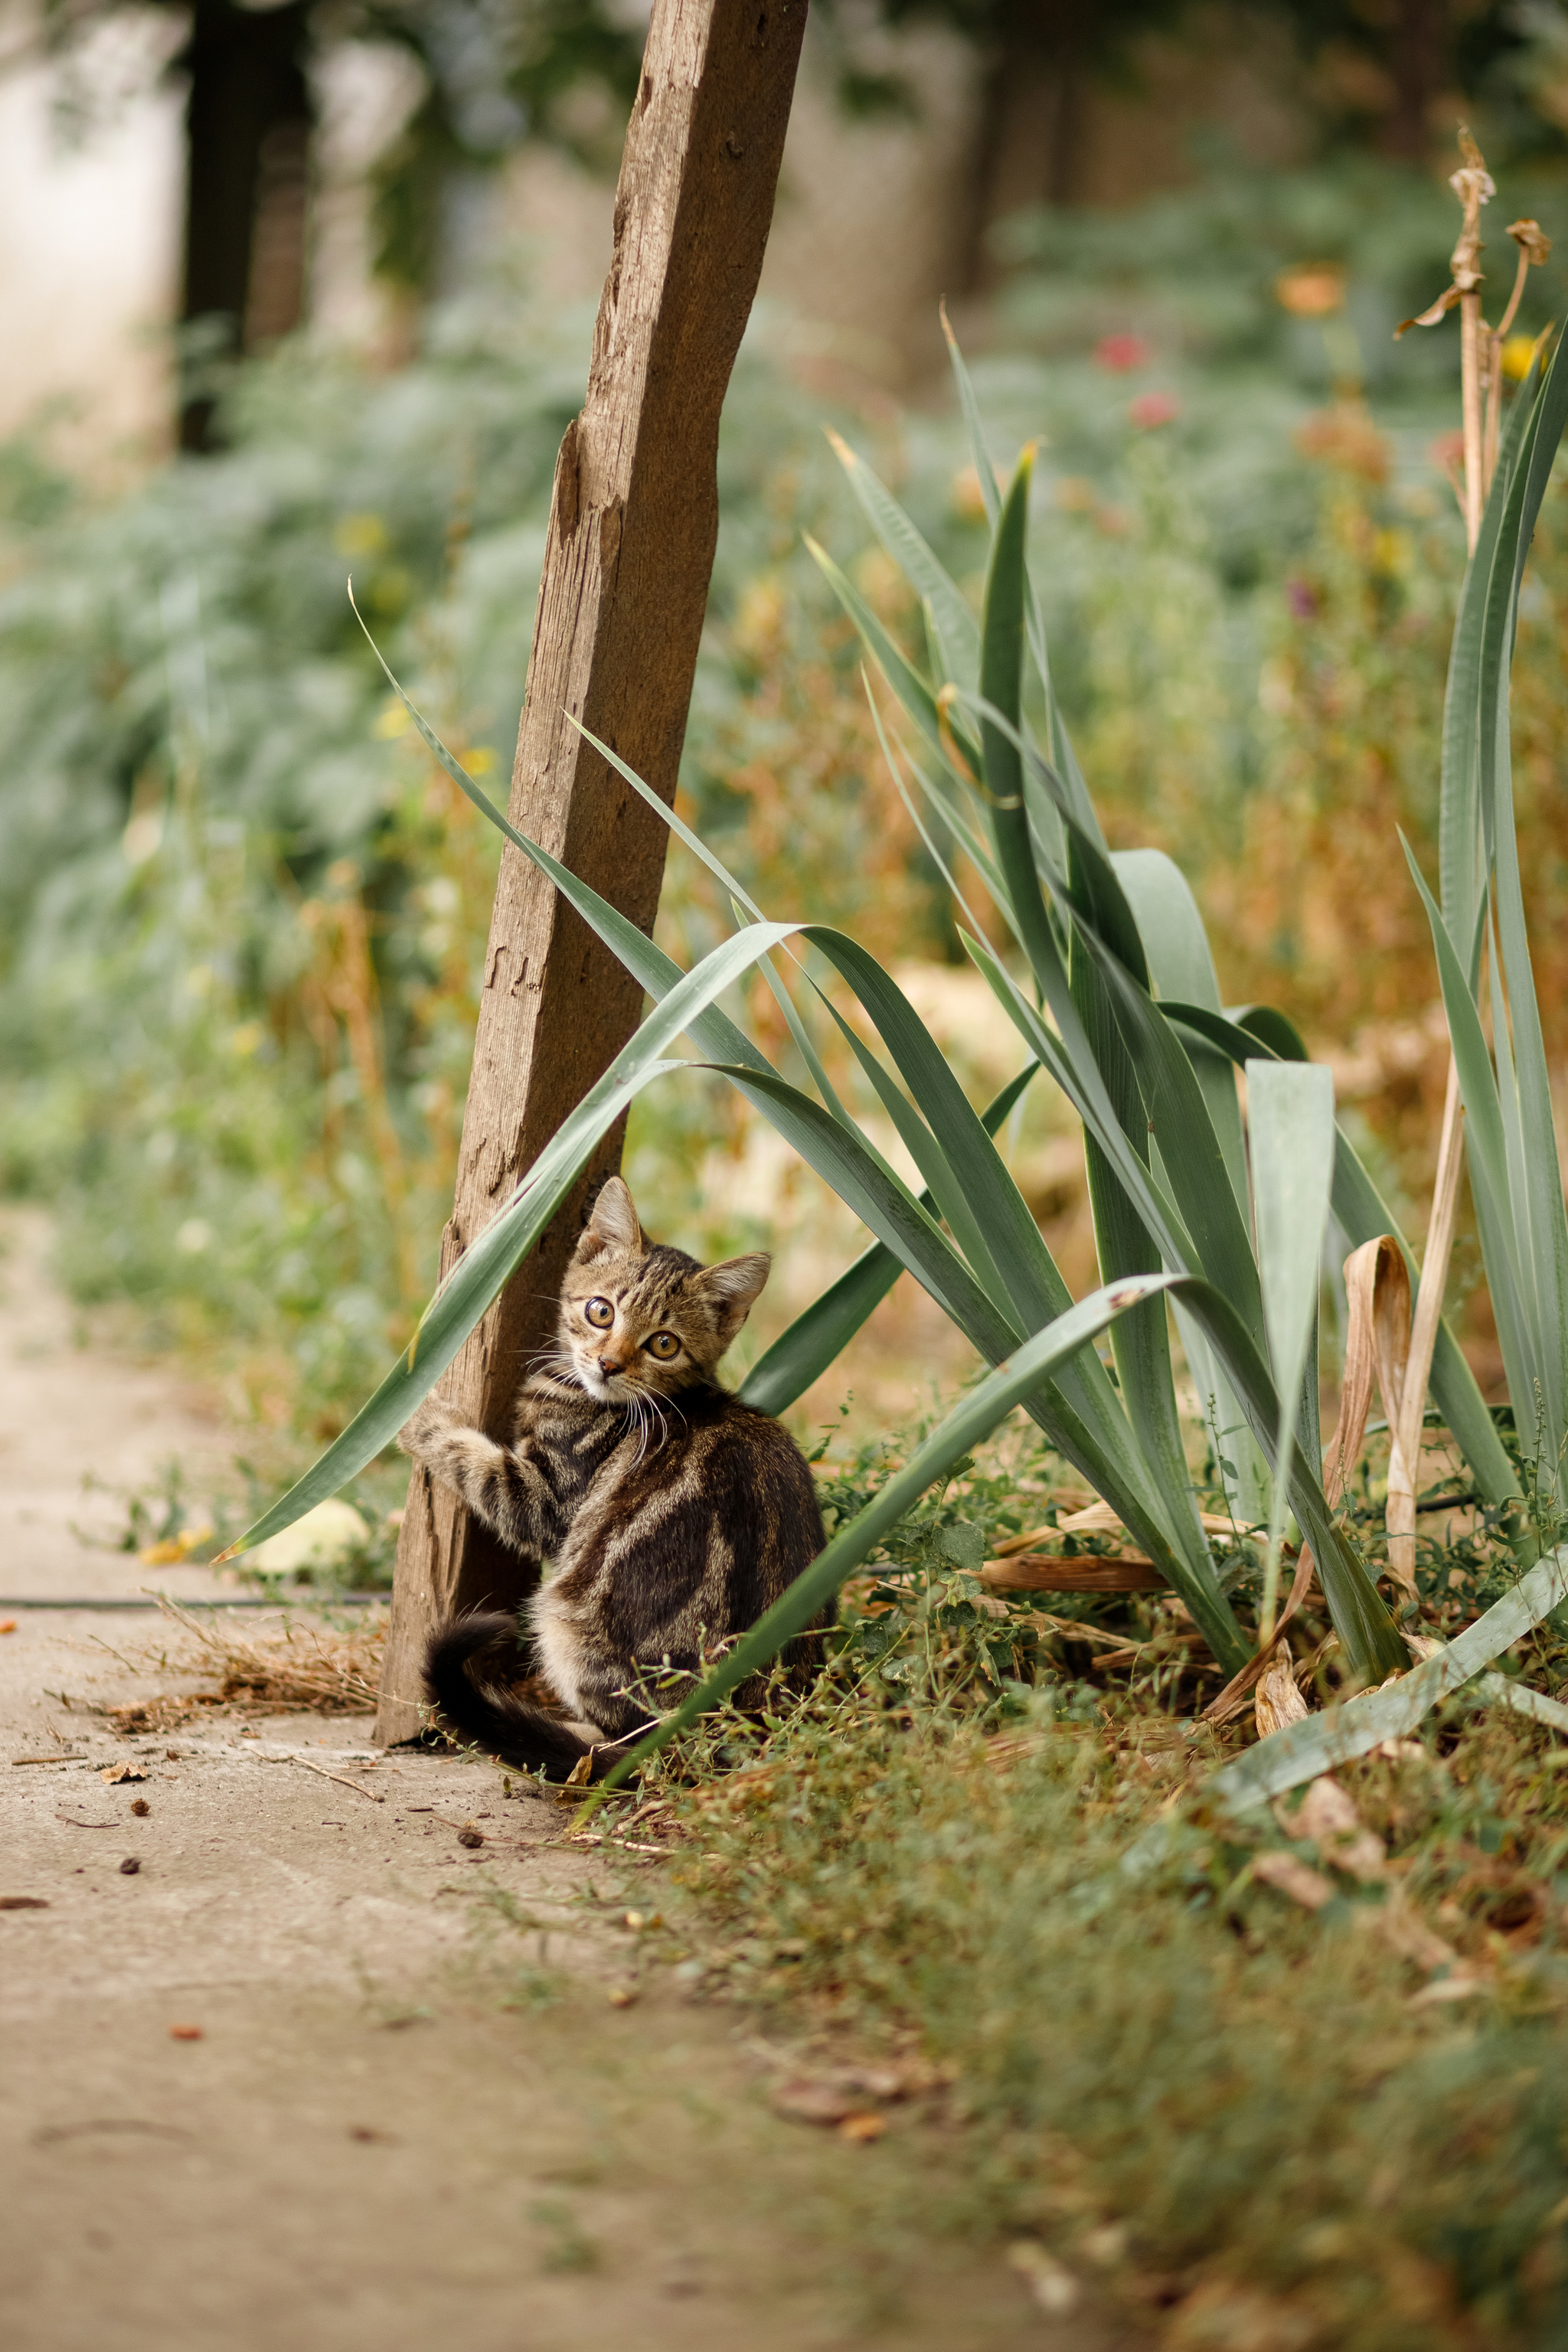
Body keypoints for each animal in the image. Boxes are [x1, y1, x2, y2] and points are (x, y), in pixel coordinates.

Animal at [399, 1176, 827, 1778]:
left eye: (664, 1343)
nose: (608, 1364)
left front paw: (419, 1416)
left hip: (565, 1621)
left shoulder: (548, 1500)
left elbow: (473, 1462)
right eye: (600, 1311)